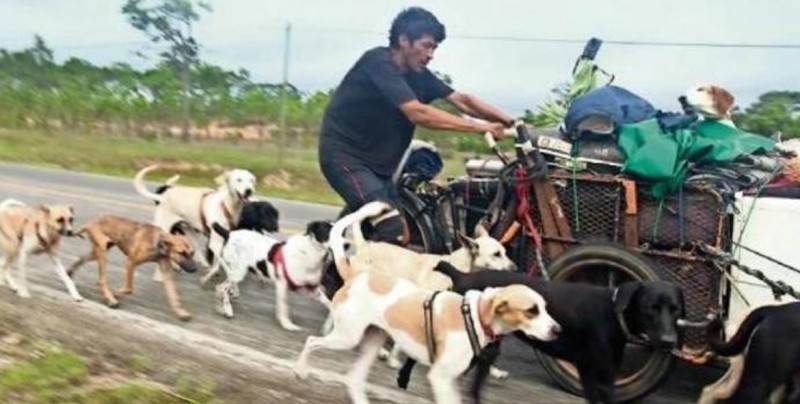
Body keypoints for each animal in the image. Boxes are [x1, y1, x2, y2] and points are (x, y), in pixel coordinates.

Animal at [67, 215, 202, 322]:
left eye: (192, 253)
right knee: (102, 280)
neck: (158, 243)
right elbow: (128, 288)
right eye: (182, 253)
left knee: (82, 258)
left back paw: (70, 271)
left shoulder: (166, 272)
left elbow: (174, 295)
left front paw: (181, 312)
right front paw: (115, 293)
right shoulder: (131, 262)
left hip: (100, 250)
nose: (194, 269)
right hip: (102, 251)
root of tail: (92, 221)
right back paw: (111, 299)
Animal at [290, 270, 560, 402]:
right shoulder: (439, 377)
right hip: (347, 337)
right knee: (311, 341)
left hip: (372, 342)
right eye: (532, 310)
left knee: (354, 378)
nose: (558, 330)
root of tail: (354, 280)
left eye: (545, 307)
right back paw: (300, 370)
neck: (475, 316)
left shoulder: (450, 379)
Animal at [396, 260, 684, 402]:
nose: (670, 341)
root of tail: (463, 276)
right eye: (650, 308)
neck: (613, 312)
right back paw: (403, 377)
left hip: (486, 347)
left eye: (676, 309)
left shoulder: (595, 376)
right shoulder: (599, 377)